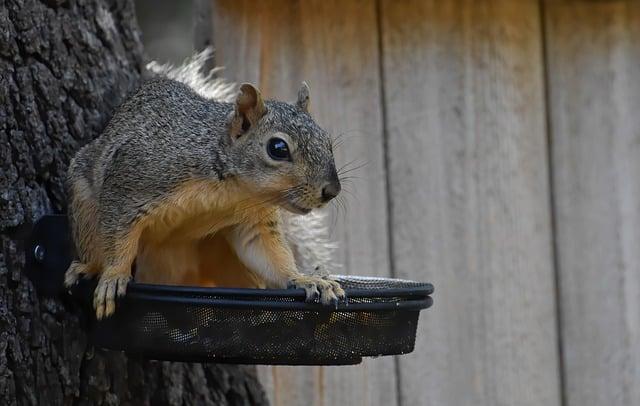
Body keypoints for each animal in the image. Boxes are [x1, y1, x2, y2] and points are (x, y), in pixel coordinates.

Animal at [65, 49, 344, 318]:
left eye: (326, 141)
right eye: (277, 148)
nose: (332, 190)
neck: (233, 189)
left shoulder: (253, 220)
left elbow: (268, 253)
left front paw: (303, 278)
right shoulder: (130, 185)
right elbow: (117, 235)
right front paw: (114, 276)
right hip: (83, 202)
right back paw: (89, 267)